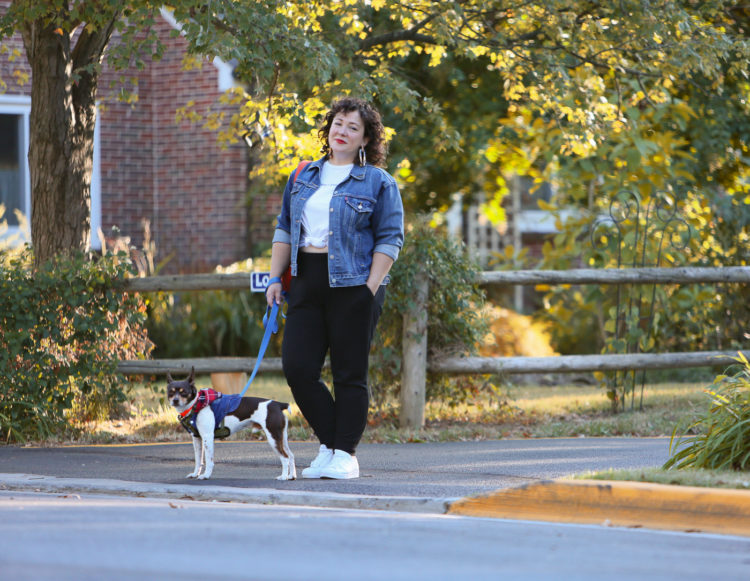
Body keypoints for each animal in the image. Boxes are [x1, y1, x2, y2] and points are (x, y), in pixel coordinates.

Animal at [167, 368, 296, 480]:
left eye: (184, 392)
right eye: (170, 392)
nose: (175, 400)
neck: (197, 404)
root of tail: (278, 404)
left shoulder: (208, 437)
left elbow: (209, 460)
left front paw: (206, 475)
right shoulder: (197, 439)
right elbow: (198, 460)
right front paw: (195, 474)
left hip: (273, 438)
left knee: (284, 457)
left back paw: (283, 477)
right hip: (281, 437)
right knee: (290, 455)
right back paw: (291, 476)